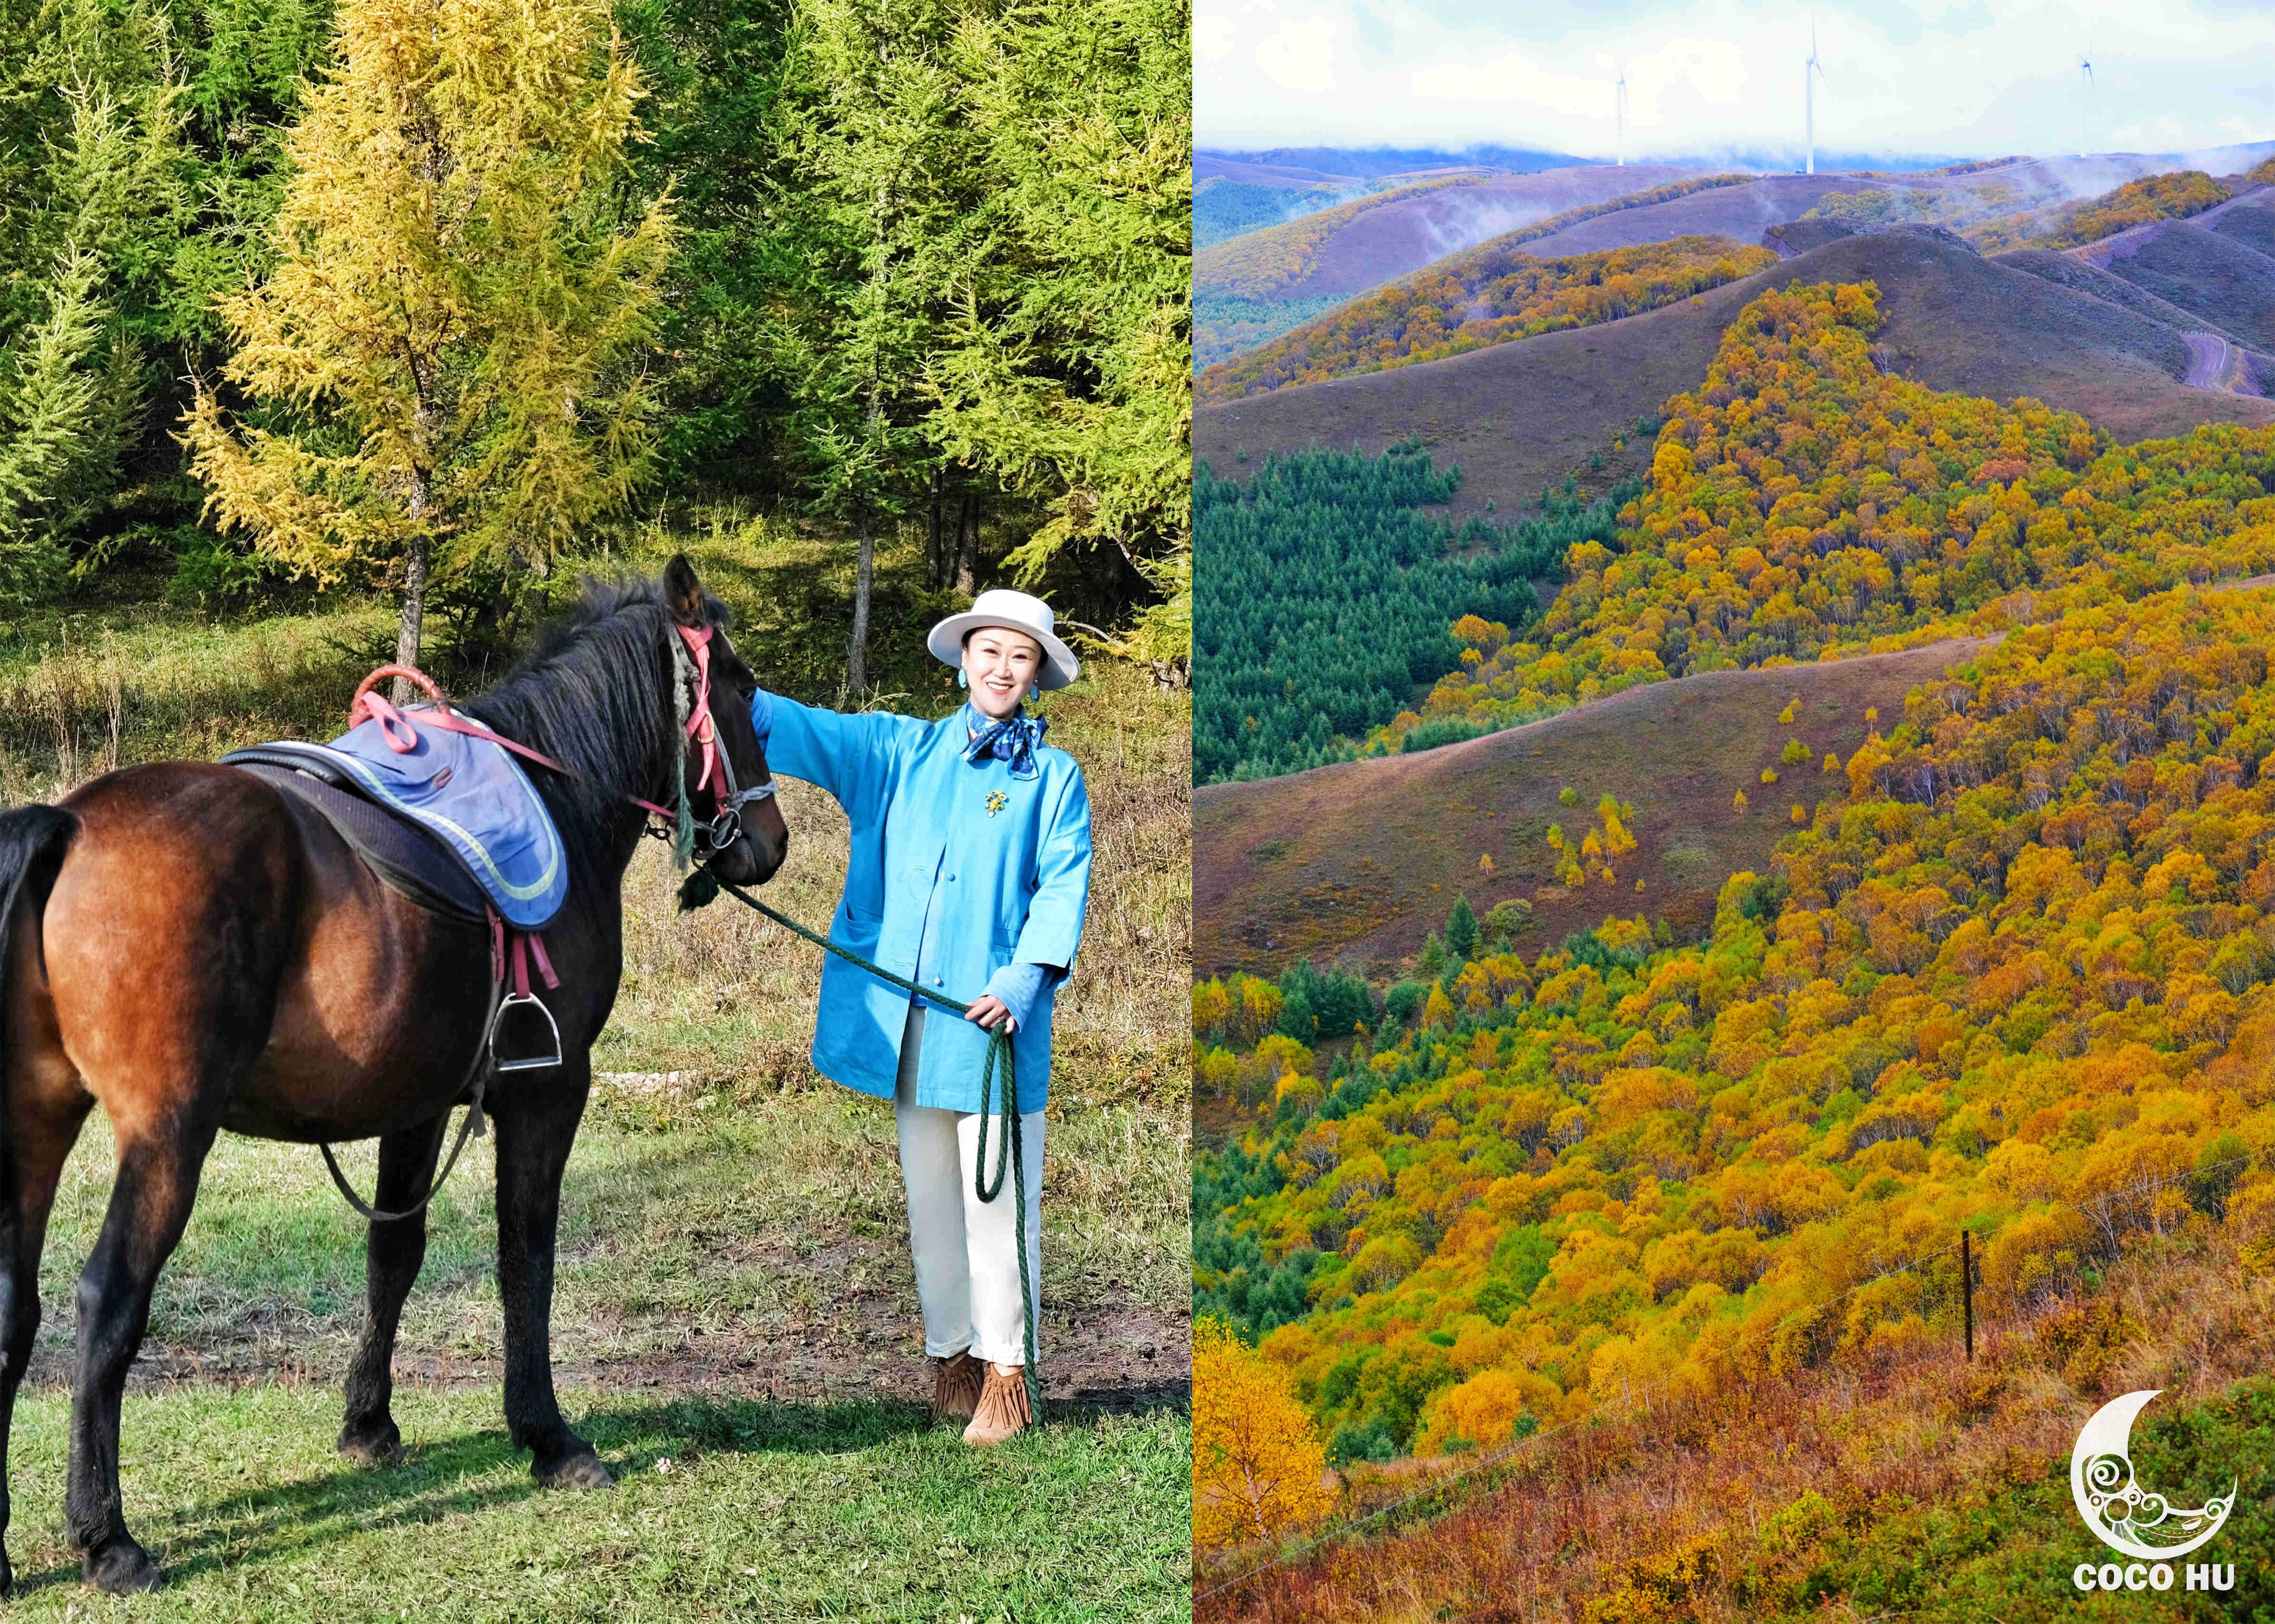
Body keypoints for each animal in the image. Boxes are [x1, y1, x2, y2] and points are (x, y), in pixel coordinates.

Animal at [0, 550, 787, 1592]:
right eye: (740, 686)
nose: (771, 842)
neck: (561, 800)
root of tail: (72, 824)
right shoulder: (548, 1089)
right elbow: (525, 1254)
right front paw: (546, 1434)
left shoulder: (416, 1102)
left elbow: (394, 1255)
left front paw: (368, 1422)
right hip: (165, 1135)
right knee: (107, 1298)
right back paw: (108, 1536)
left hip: (38, 1122)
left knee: (13, 1300)